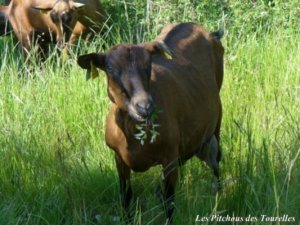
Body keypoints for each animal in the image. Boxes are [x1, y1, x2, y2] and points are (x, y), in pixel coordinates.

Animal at [77, 22, 223, 223]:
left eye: (148, 65)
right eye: (110, 69)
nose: (143, 106)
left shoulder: (169, 158)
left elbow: (169, 203)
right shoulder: (119, 158)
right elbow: (126, 197)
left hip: (216, 122)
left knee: (216, 161)